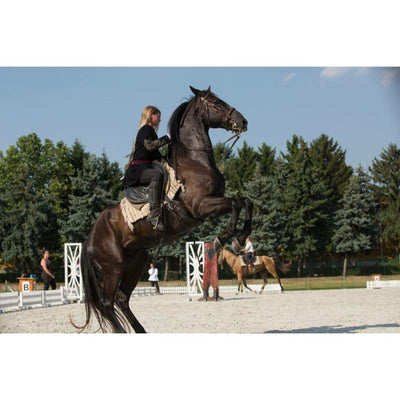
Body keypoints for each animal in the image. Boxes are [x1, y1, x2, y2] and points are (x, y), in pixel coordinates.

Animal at [78, 86, 253, 332]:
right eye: (216, 103)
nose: (242, 121)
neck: (194, 160)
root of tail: (89, 238)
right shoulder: (201, 206)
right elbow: (237, 203)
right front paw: (224, 239)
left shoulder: (214, 201)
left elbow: (246, 201)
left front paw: (240, 239)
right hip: (113, 268)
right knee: (107, 302)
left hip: (137, 261)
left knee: (121, 299)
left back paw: (141, 331)